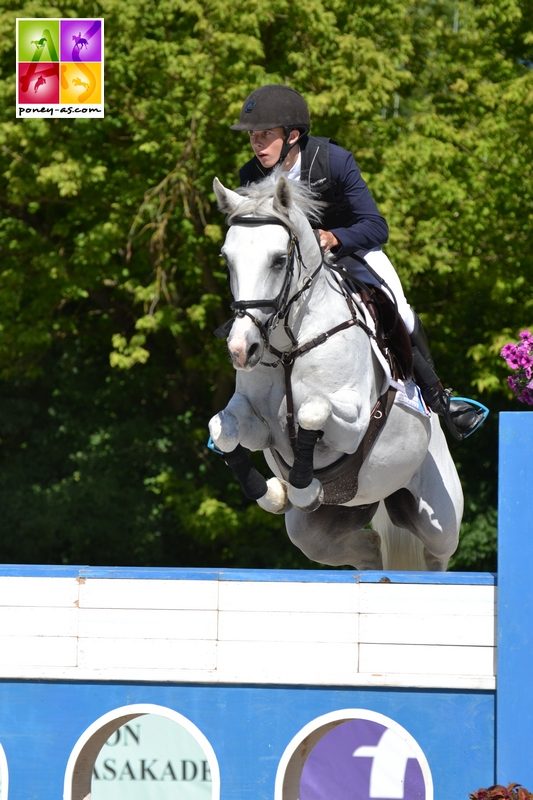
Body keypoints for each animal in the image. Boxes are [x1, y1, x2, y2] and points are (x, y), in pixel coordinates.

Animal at [208, 173, 462, 568]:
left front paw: (302, 488)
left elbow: (312, 412)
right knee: (367, 548)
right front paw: (272, 494)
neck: (289, 348)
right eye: (227, 259)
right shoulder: (259, 426)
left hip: (438, 523)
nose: (241, 349)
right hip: (322, 529)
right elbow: (222, 428)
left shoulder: (355, 422)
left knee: (436, 556)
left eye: (279, 260)